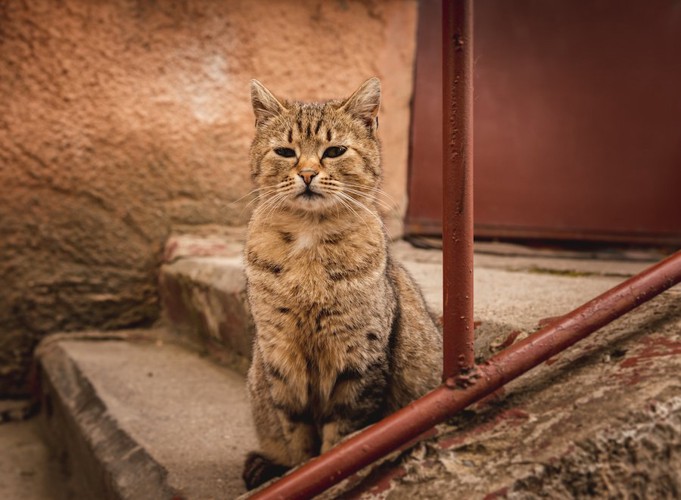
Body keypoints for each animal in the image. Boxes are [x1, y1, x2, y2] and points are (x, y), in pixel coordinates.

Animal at [242, 78, 438, 488]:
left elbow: (341, 438)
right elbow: (298, 435)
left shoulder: (359, 360)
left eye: (334, 151)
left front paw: (329, 473)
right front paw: (300, 473)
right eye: (285, 152)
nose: (307, 174)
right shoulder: (281, 358)